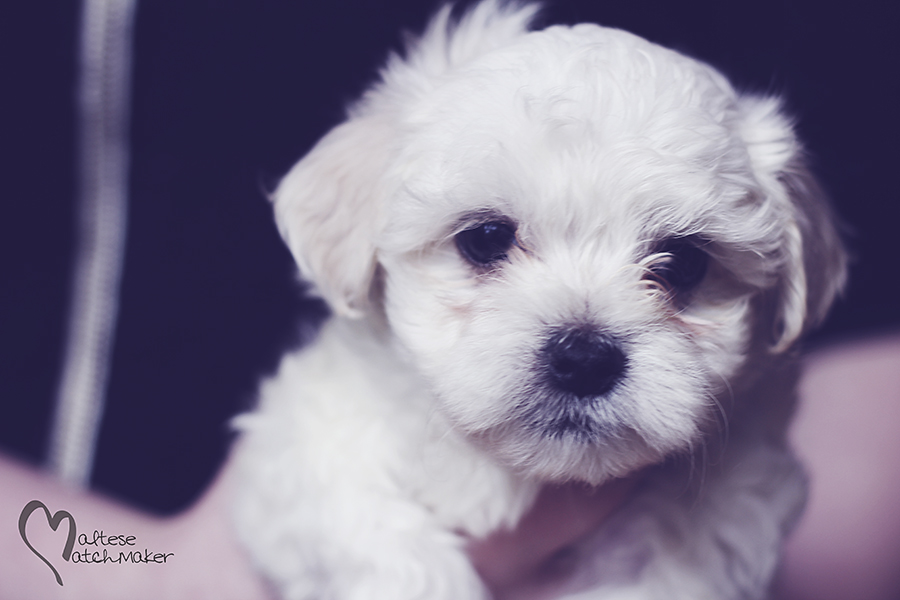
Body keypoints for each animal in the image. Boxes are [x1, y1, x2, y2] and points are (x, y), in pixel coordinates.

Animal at [230, 2, 844, 596]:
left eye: (686, 263)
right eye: (485, 239)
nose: (584, 358)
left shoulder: (738, 490)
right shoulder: (305, 439)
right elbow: (373, 529)